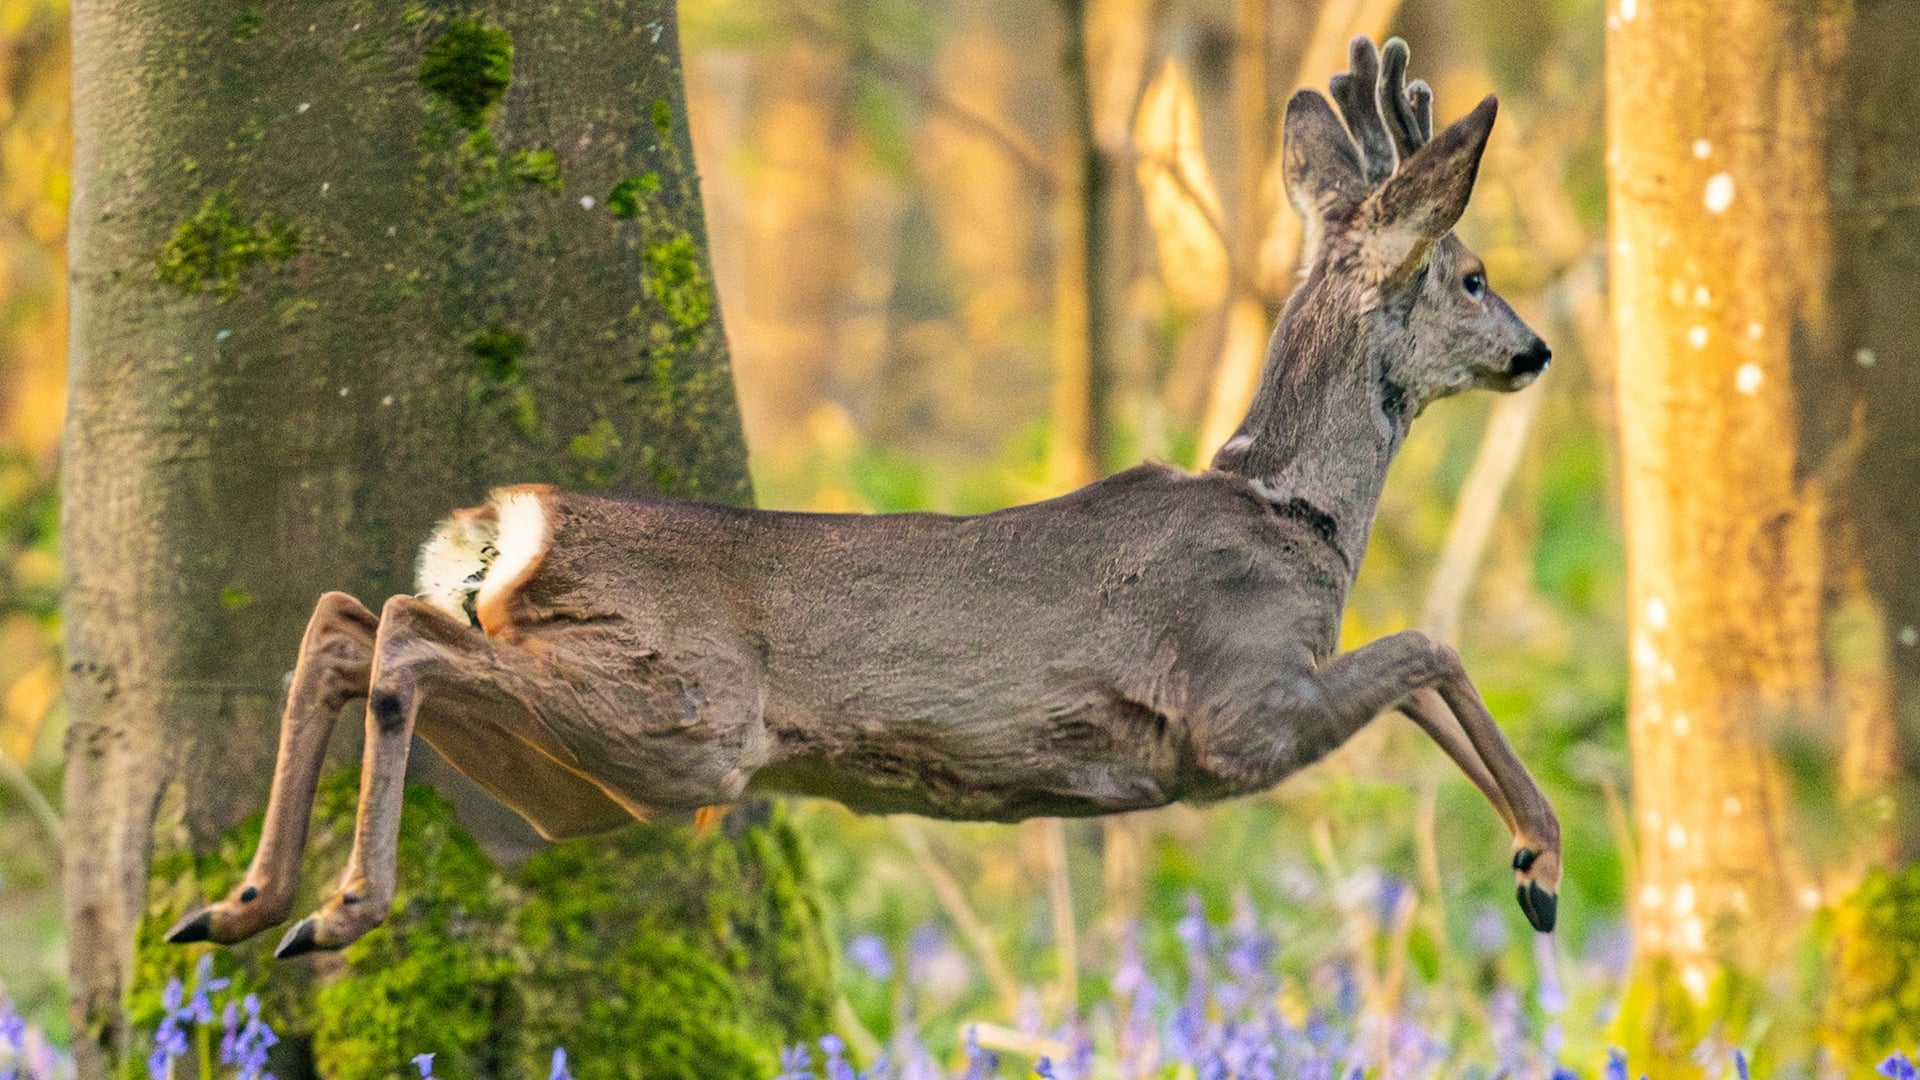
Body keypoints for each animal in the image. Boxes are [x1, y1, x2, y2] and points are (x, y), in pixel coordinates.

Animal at [166, 36, 1560, 960]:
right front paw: (1541, 861)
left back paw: (238, 905)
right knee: (399, 635)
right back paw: (332, 909)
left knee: (346, 622)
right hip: (678, 720)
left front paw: (1530, 864)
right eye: (1475, 274)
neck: (1292, 514)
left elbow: (1425, 664)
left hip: (583, 781)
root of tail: (507, 527)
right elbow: (1430, 645)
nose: (1537, 352)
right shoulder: (1238, 714)